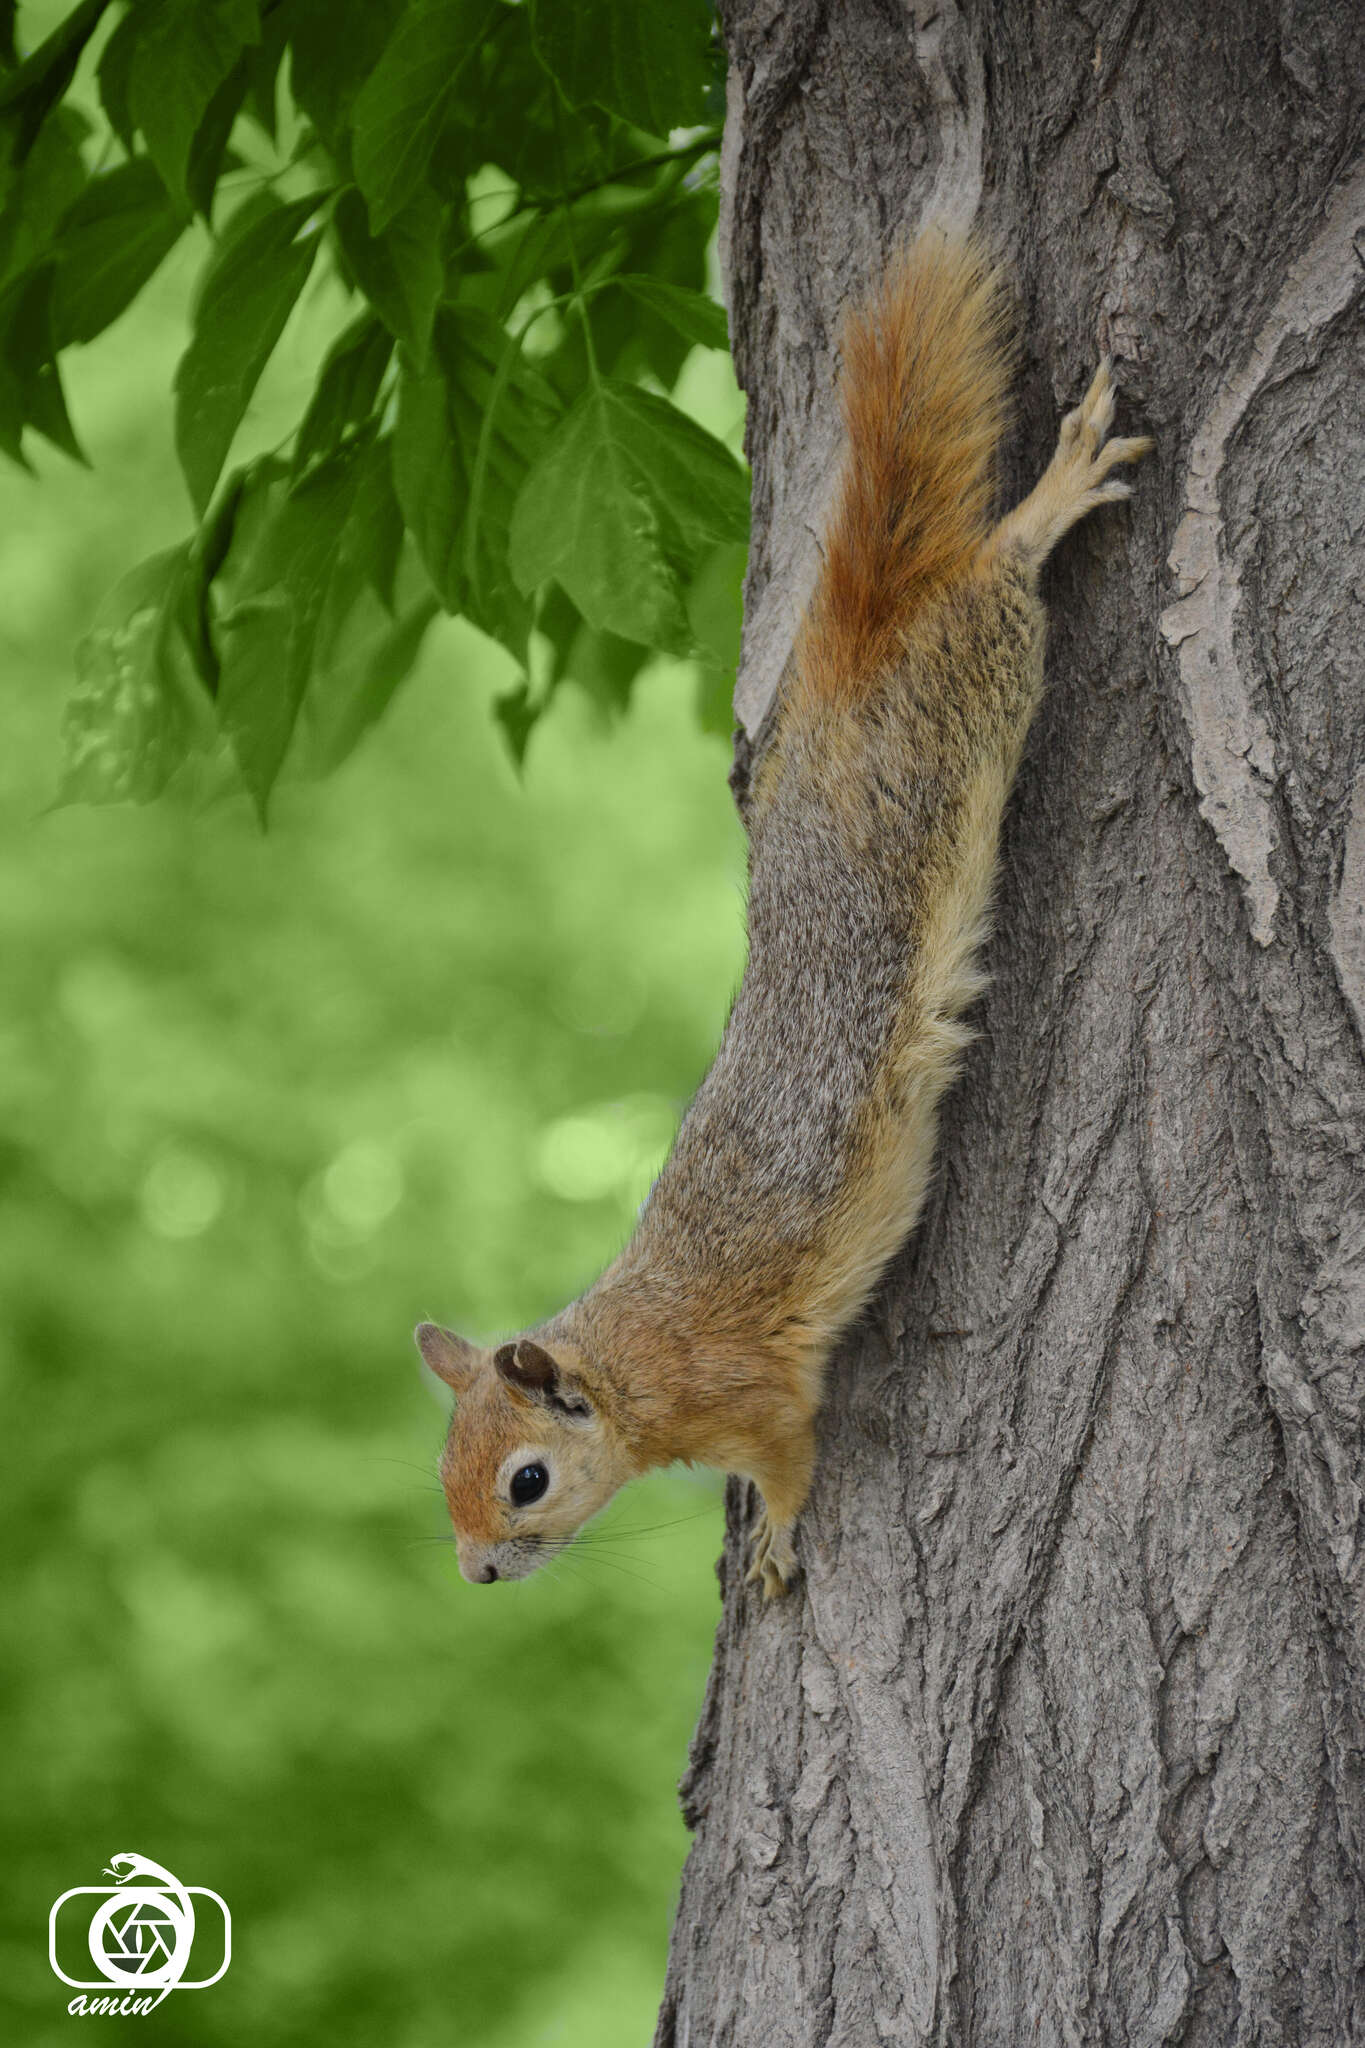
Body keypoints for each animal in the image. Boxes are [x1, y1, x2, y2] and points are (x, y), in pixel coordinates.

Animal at [417, 228, 1154, 1597]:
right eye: (443, 1471)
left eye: (525, 1479)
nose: (478, 1572)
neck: (633, 1364)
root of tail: (859, 653)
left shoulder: (753, 1390)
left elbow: (792, 1455)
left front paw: (776, 1534)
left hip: (979, 673)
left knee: (1000, 570)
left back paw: (1056, 492)